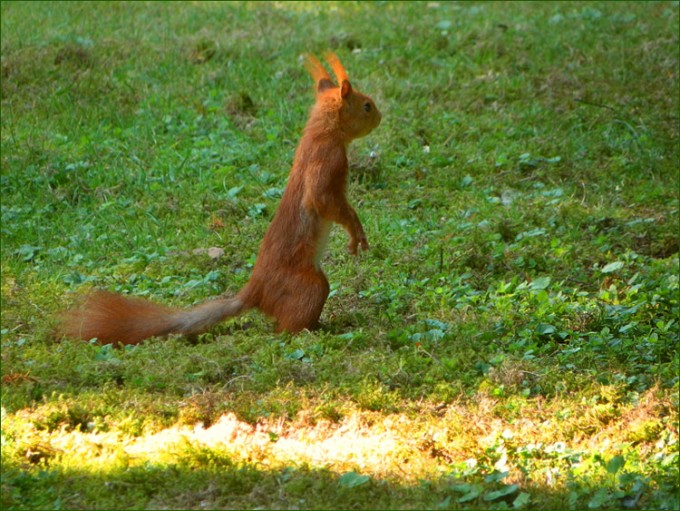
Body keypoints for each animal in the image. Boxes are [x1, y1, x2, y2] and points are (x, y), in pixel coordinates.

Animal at [60, 52, 381, 346]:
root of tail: (255, 293)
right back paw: (315, 332)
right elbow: (324, 200)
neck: (322, 132)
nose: (380, 117)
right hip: (308, 286)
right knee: (287, 325)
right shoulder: (327, 164)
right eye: (366, 106)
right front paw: (356, 235)